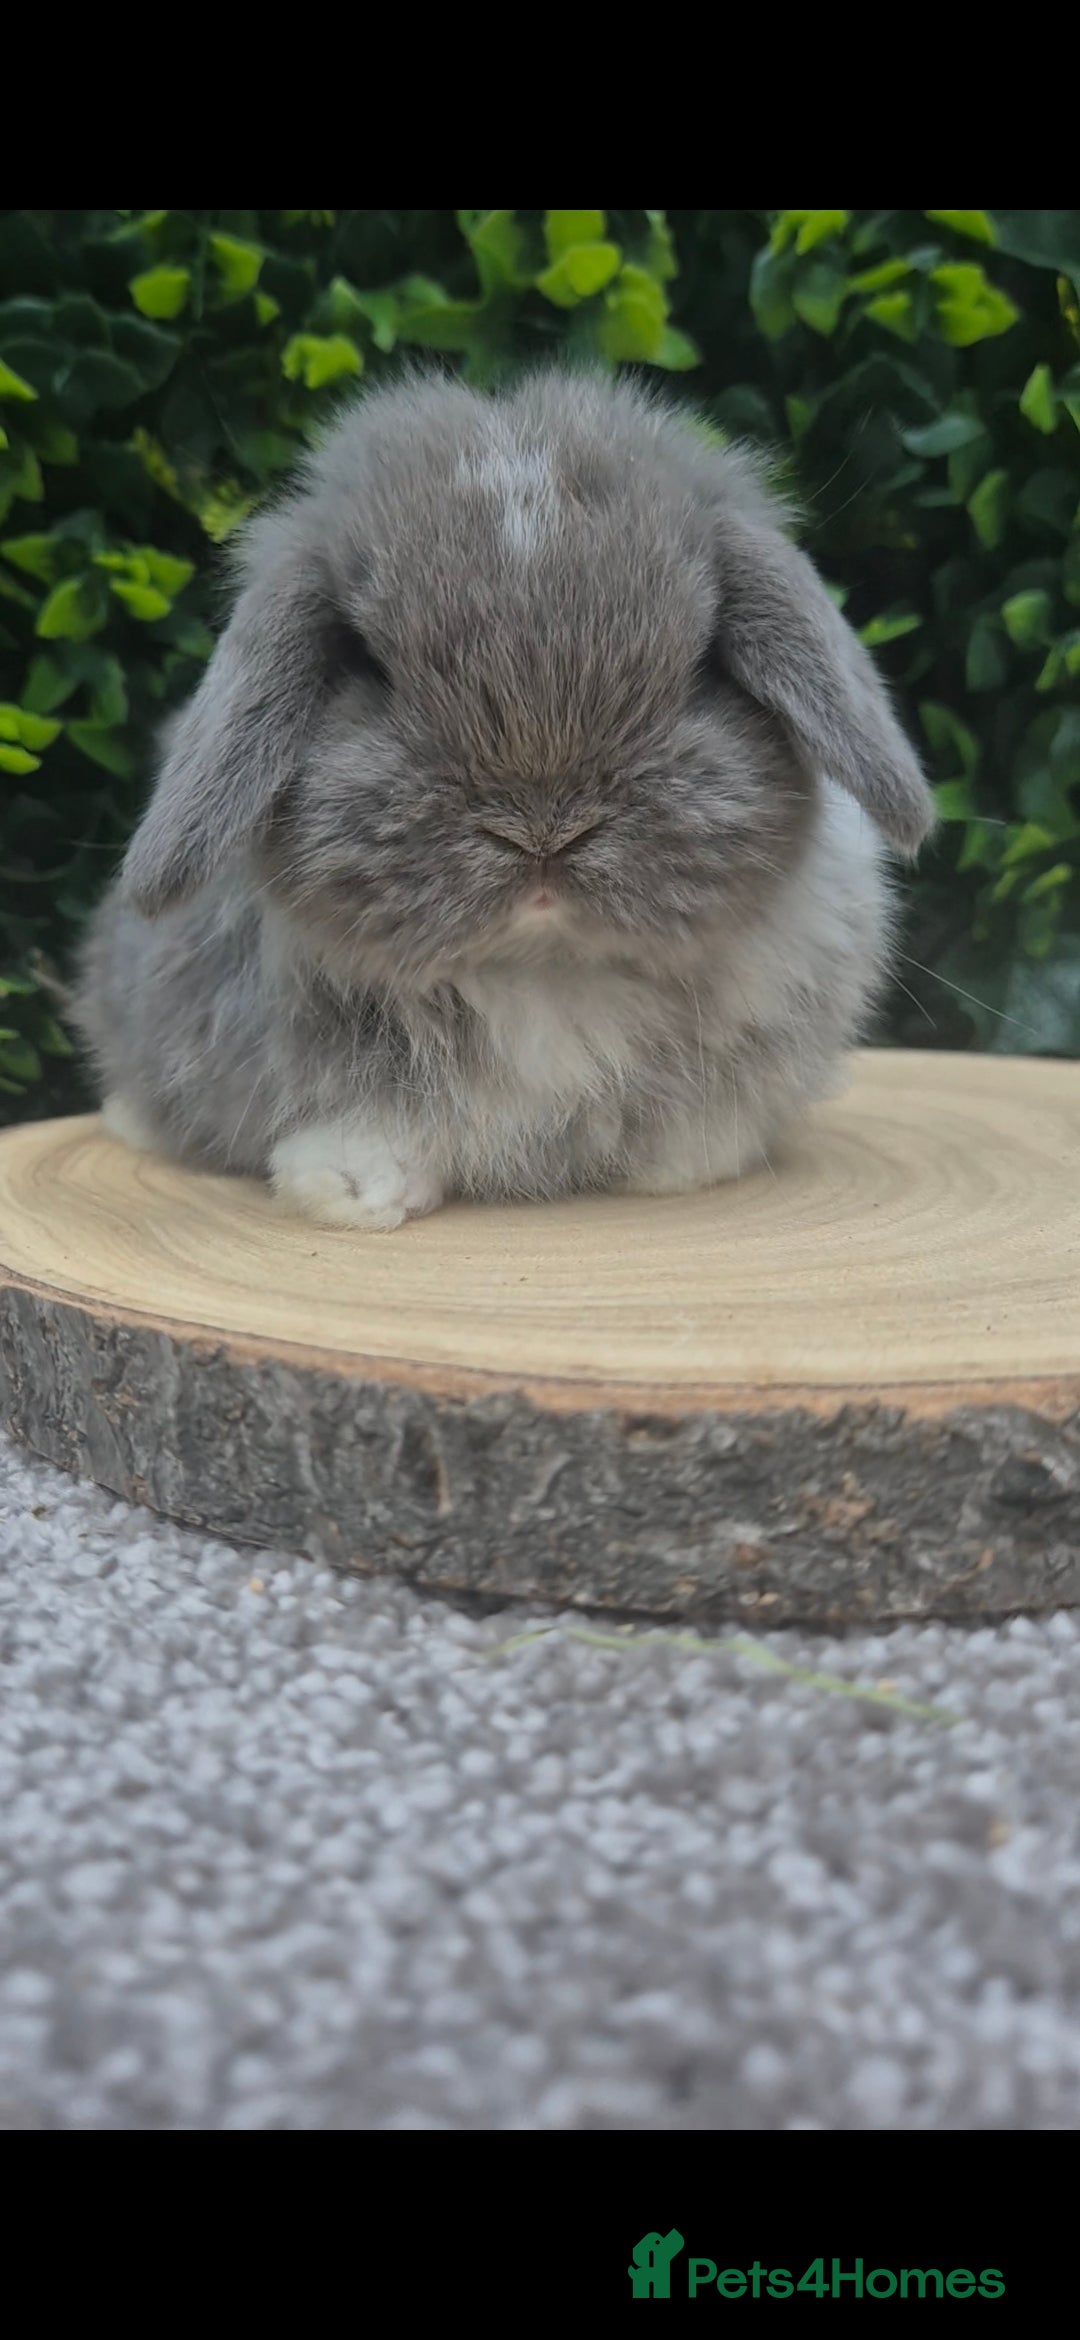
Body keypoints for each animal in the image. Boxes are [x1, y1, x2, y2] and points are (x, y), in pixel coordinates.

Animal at [72, 366, 935, 1230]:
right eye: (365, 664)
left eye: (701, 663)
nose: (543, 832)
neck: (543, 972)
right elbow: (365, 1129)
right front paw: (352, 1196)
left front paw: (676, 1169)